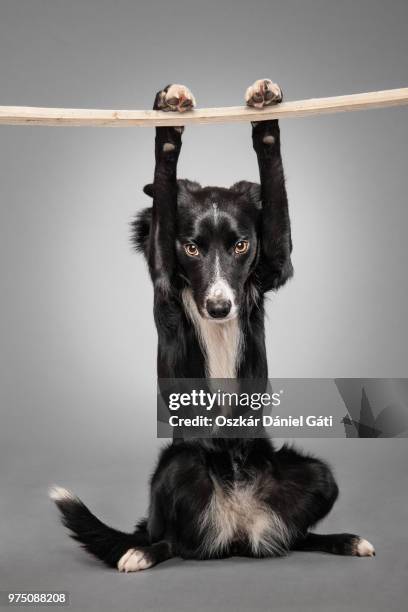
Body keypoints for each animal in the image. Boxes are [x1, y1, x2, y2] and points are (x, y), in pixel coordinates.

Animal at [51, 80, 376, 568]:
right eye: (192, 248)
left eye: (241, 245)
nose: (221, 308)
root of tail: (238, 525)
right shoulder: (163, 270)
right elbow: (164, 188)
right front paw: (167, 115)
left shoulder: (273, 263)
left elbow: (274, 185)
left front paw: (265, 110)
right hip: (178, 464)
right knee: (174, 543)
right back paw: (142, 552)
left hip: (317, 474)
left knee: (295, 535)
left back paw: (346, 541)